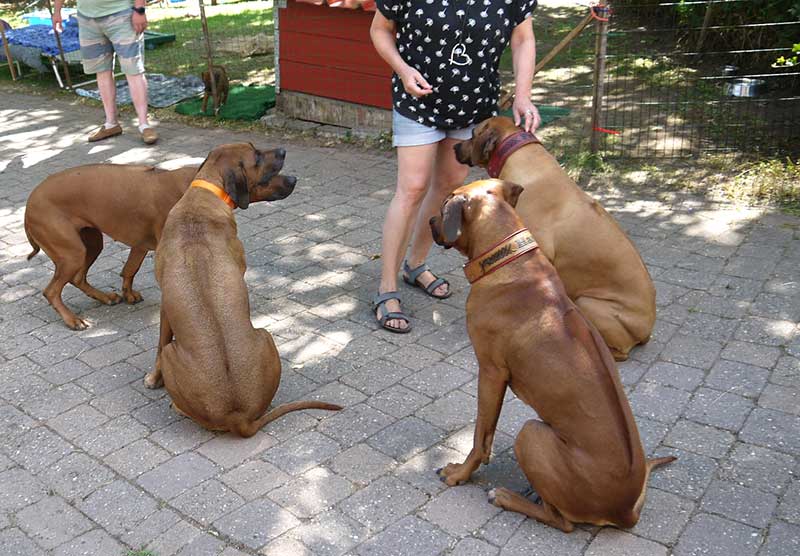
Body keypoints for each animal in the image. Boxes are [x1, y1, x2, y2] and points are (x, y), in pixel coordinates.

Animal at [22, 165, 198, 330]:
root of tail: (29, 204)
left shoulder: (140, 246)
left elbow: (130, 269)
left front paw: (128, 294)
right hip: (73, 253)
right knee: (51, 291)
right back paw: (72, 320)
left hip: (93, 244)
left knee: (78, 278)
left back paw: (105, 297)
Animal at [144, 144, 340, 438]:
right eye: (256, 156)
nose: (283, 150)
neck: (205, 195)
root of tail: (239, 417)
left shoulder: (165, 308)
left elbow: (159, 344)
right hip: (265, 336)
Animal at [432, 180, 676, 532]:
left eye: (441, 207)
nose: (429, 223)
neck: (509, 261)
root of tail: (626, 511)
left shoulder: (490, 372)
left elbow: (480, 436)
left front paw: (460, 473)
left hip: (531, 434)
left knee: (561, 521)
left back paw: (506, 496)